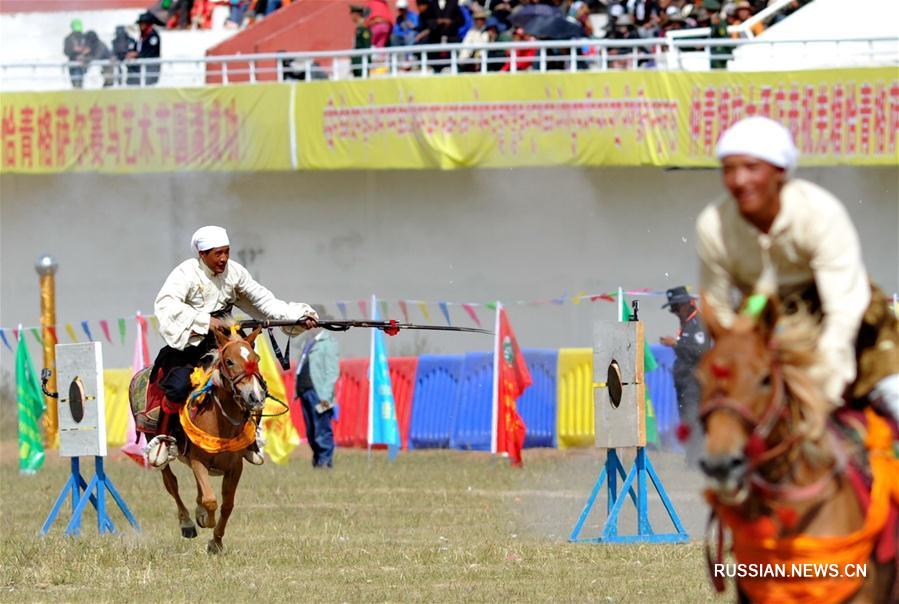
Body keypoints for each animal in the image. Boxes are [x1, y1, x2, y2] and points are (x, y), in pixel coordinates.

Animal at [130, 324, 266, 556]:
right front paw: (205, 520)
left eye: (255, 358)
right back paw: (187, 523)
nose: (255, 396)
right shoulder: (198, 461)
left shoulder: (235, 467)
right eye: (229, 361)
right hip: (155, 442)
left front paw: (216, 542)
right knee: (171, 482)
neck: (220, 422)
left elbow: (227, 504)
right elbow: (211, 500)